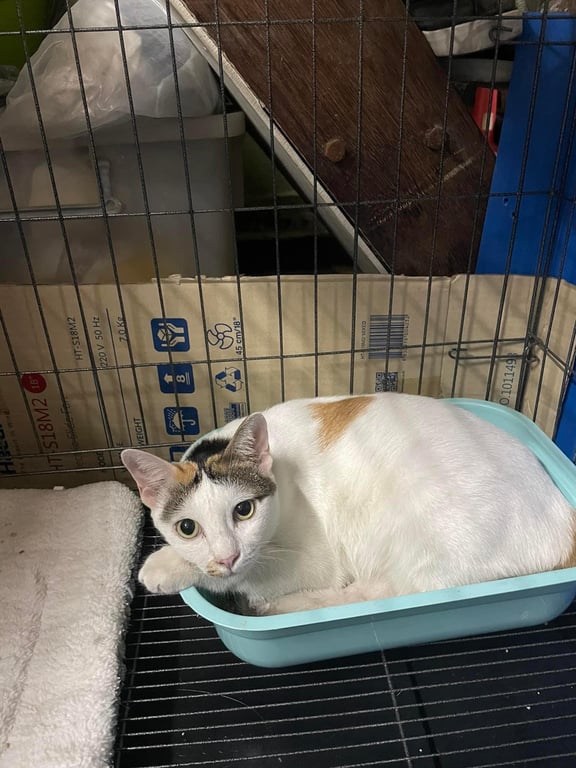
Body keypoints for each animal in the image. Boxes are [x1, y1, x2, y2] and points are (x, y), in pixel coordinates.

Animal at [121, 393, 576, 616]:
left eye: (243, 510)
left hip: (425, 537)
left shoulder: (312, 562)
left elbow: (245, 575)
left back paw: (279, 607)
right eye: (188, 527)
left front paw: (166, 566)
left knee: (382, 593)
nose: (226, 557)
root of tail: (566, 518)